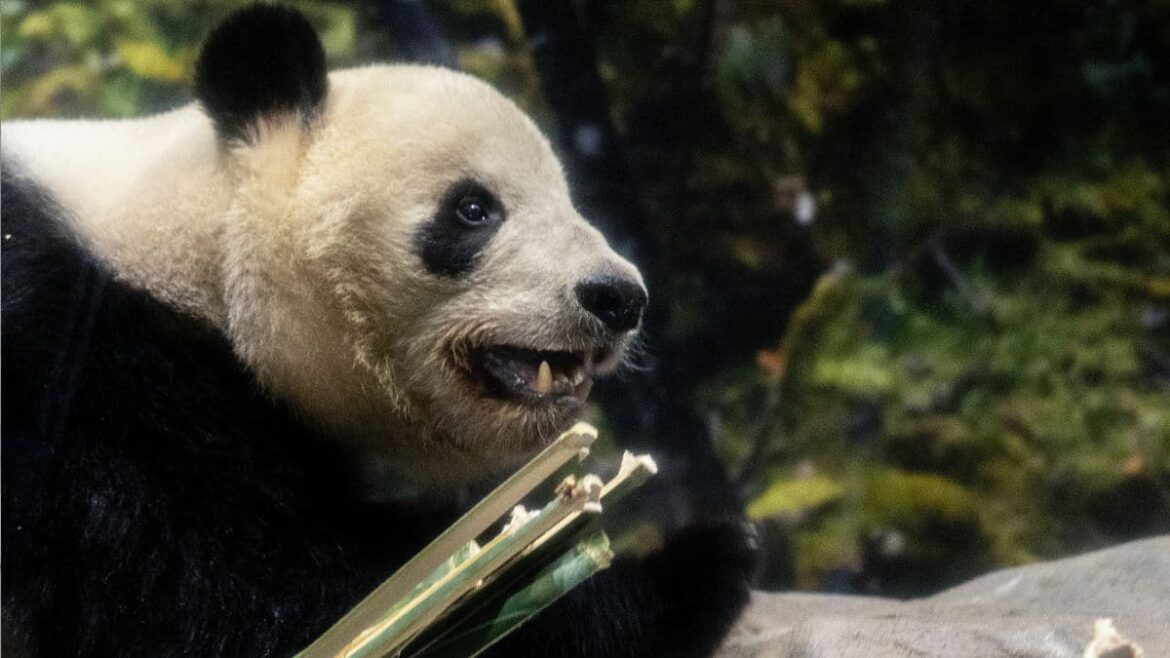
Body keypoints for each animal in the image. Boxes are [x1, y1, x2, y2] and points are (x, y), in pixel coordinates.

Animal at [1, 5, 754, 657]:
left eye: (568, 199)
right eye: (474, 208)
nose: (618, 296)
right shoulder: (78, 371)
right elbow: (252, 594)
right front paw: (686, 568)